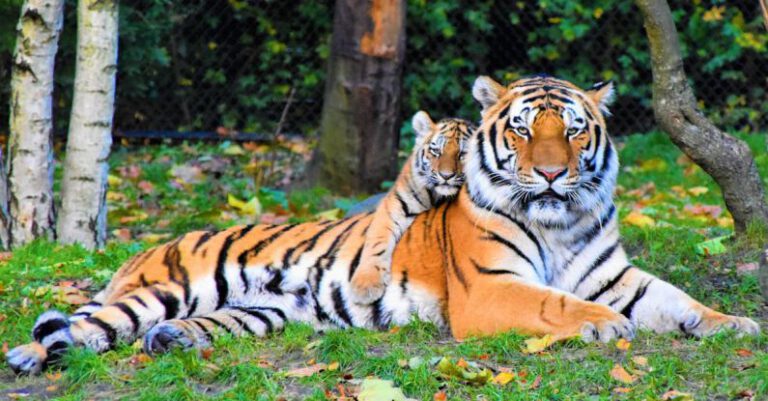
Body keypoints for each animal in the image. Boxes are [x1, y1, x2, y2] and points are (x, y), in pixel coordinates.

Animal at [6, 75, 760, 376]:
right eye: (523, 131)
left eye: (573, 131)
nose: (550, 174)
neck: (561, 221)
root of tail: (155, 246)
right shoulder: (492, 288)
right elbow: (558, 303)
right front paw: (605, 325)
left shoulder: (615, 273)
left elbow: (679, 300)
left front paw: (737, 324)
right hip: (161, 289)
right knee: (83, 326)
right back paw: (27, 357)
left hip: (259, 313)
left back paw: (170, 342)